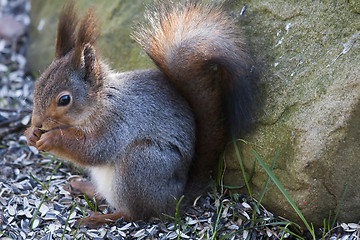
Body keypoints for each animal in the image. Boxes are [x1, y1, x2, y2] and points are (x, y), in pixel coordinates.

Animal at [24, 0, 253, 228]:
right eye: (36, 85)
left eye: (64, 100)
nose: (38, 122)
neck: (101, 103)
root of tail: (175, 199)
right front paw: (31, 134)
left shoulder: (118, 122)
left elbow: (94, 150)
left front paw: (51, 138)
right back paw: (83, 187)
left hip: (140, 163)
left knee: (135, 214)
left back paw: (100, 218)